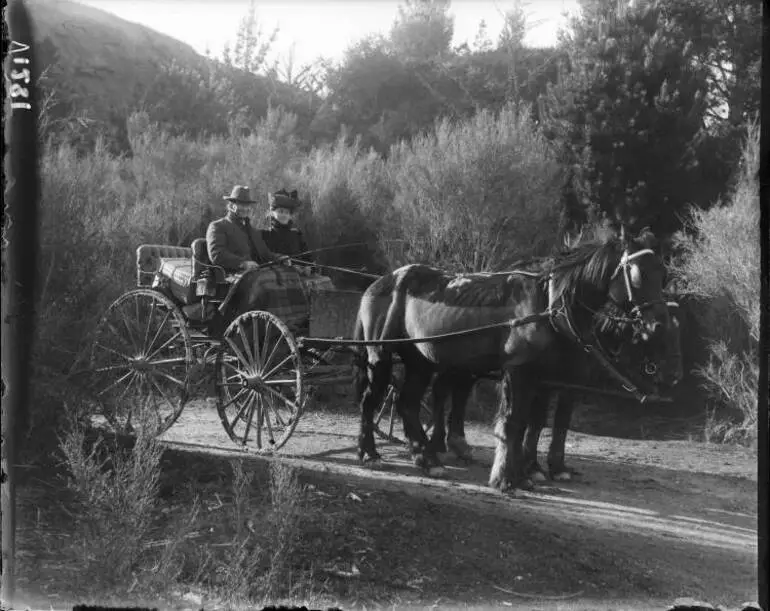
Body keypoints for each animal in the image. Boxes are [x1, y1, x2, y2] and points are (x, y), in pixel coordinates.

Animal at [352, 230, 680, 492]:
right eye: (637, 274)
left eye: (662, 274)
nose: (657, 326)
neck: (549, 305)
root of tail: (382, 281)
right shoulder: (520, 371)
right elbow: (514, 423)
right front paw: (506, 478)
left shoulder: (544, 378)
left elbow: (531, 425)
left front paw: (527, 472)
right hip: (381, 355)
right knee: (371, 400)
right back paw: (370, 453)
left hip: (422, 361)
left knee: (408, 402)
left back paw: (427, 458)